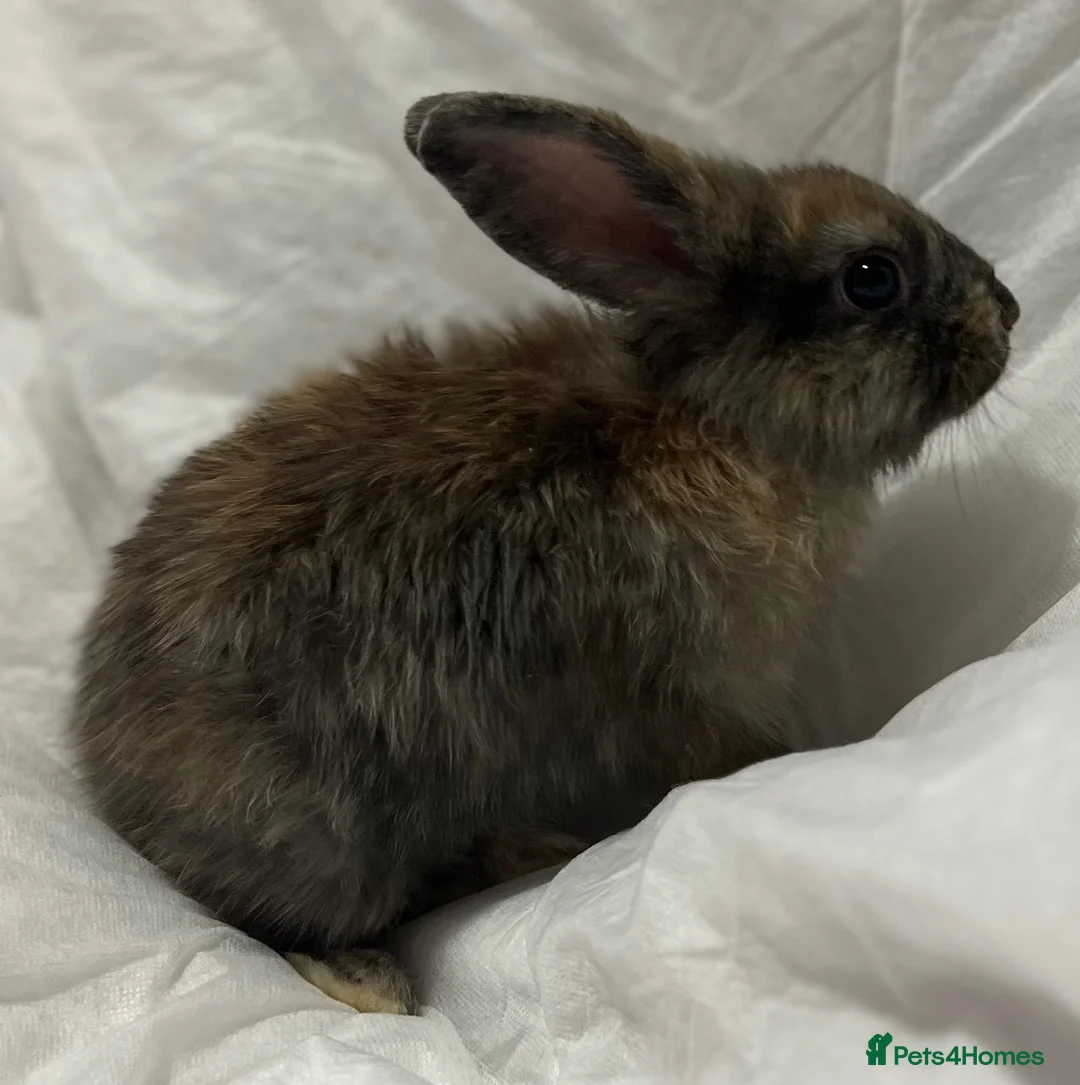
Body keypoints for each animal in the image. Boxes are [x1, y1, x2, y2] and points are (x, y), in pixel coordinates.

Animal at [71, 91, 1019, 1016]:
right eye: (871, 278)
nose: (1007, 309)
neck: (720, 423)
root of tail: (109, 779)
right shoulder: (703, 694)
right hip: (324, 840)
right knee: (276, 927)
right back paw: (378, 978)